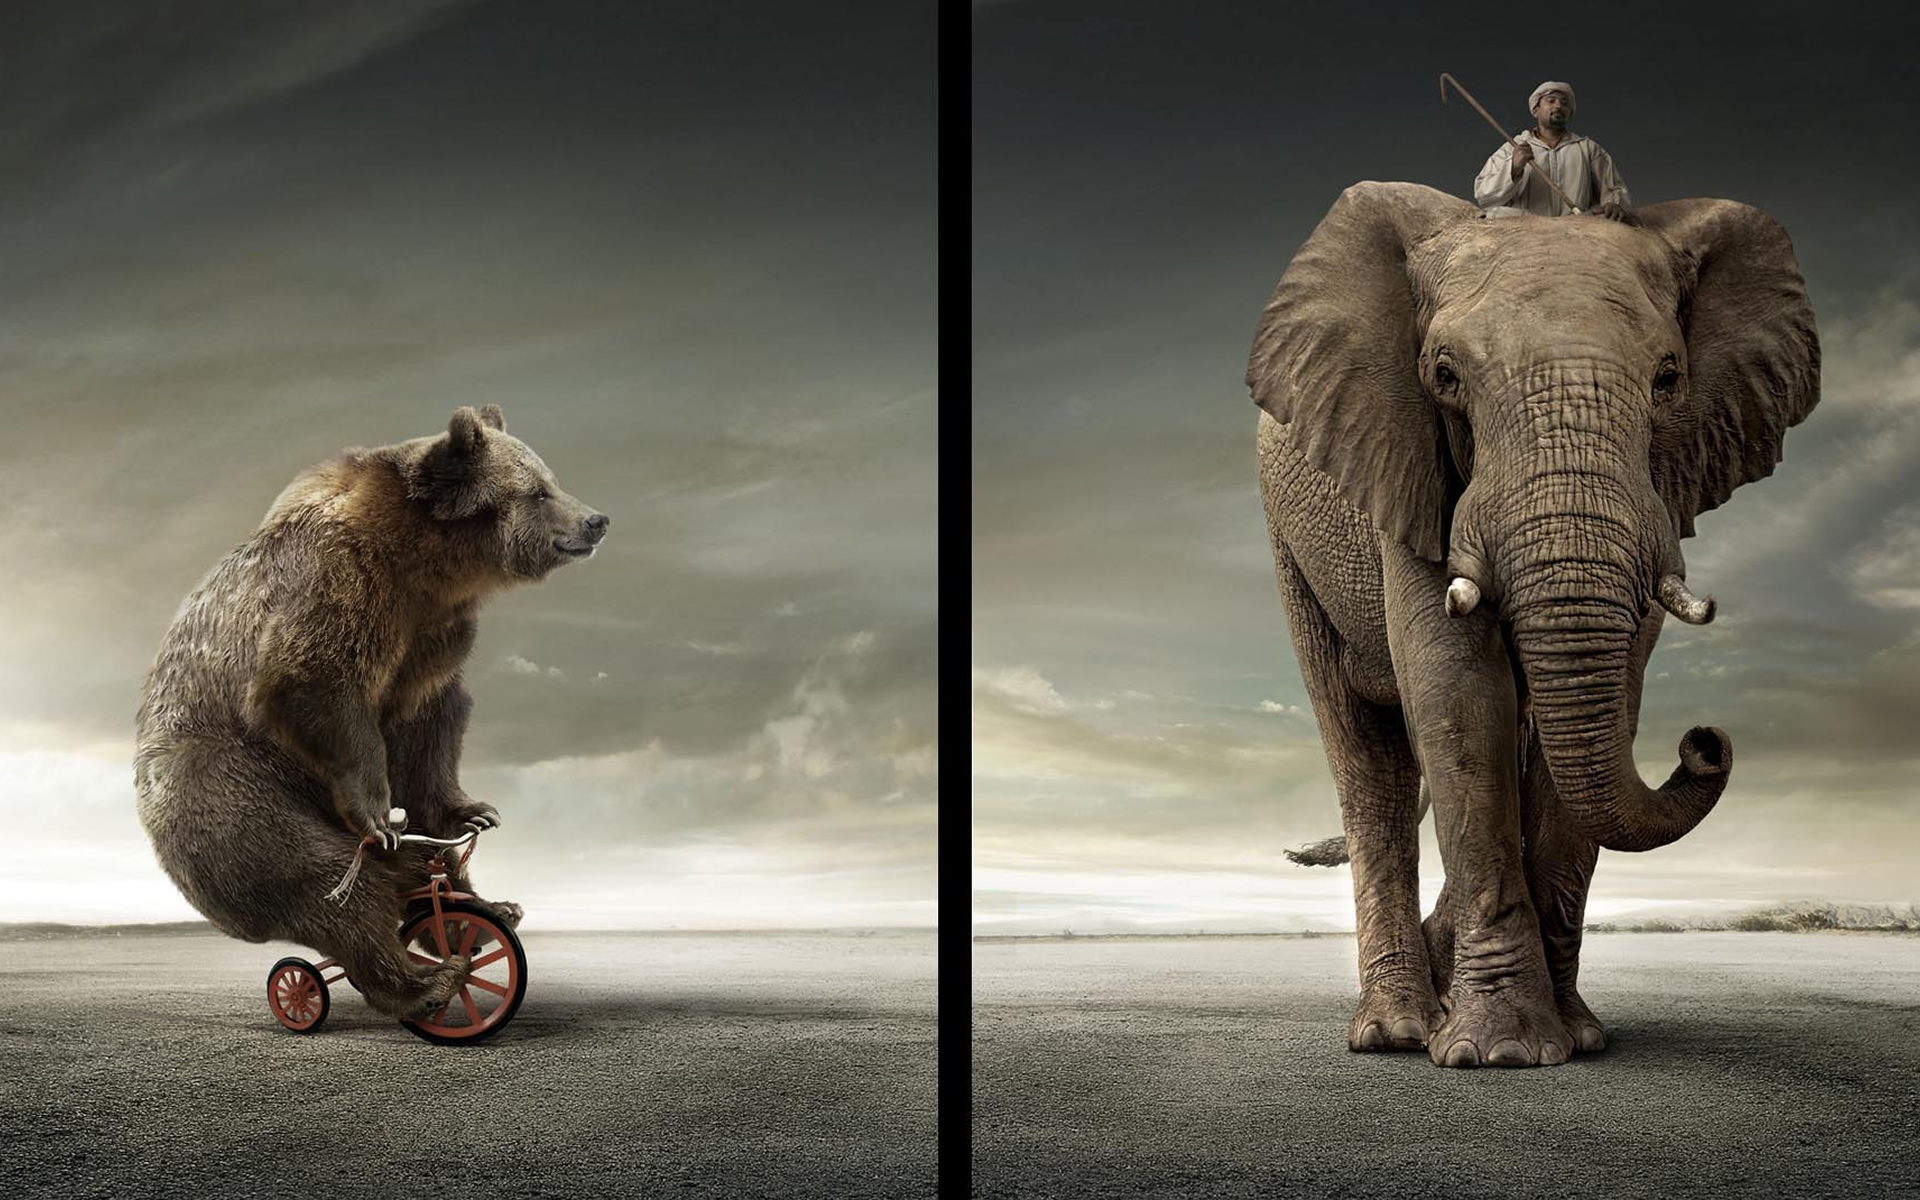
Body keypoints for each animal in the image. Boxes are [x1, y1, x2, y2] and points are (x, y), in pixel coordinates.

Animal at [134, 404, 608, 1020]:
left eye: (551, 480)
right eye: (538, 491)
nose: (597, 520)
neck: (427, 562)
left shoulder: (432, 633)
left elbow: (430, 722)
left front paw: (473, 813)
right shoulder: (340, 584)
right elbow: (314, 682)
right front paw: (379, 816)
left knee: (414, 874)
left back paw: (486, 913)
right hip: (227, 786)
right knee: (326, 880)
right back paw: (426, 981)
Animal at [1247, 182, 1819, 1067]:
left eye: (1669, 377)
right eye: (1444, 375)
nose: (1705, 742)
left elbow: (1603, 702)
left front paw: (1576, 1038)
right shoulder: (1409, 463)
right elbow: (1456, 692)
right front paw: (1499, 1054)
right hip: (1290, 541)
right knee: (1367, 755)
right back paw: (1396, 1030)